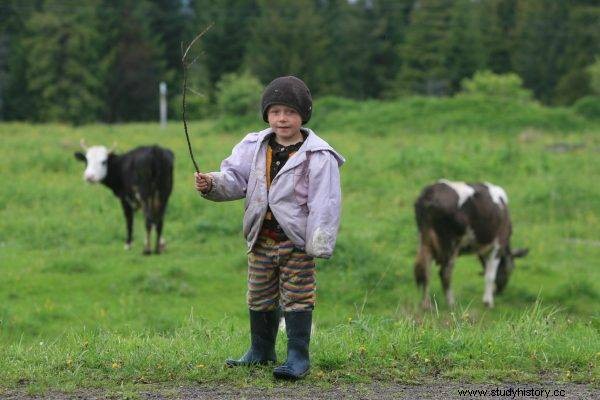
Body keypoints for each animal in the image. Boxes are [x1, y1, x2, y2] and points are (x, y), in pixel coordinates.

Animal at [414, 180, 528, 310]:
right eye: (511, 269)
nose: (499, 292)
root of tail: (429, 193)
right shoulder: (498, 244)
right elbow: (490, 275)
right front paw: (488, 302)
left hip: (425, 241)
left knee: (425, 270)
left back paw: (426, 304)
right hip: (450, 243)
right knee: (445, 272)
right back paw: (451, 303)